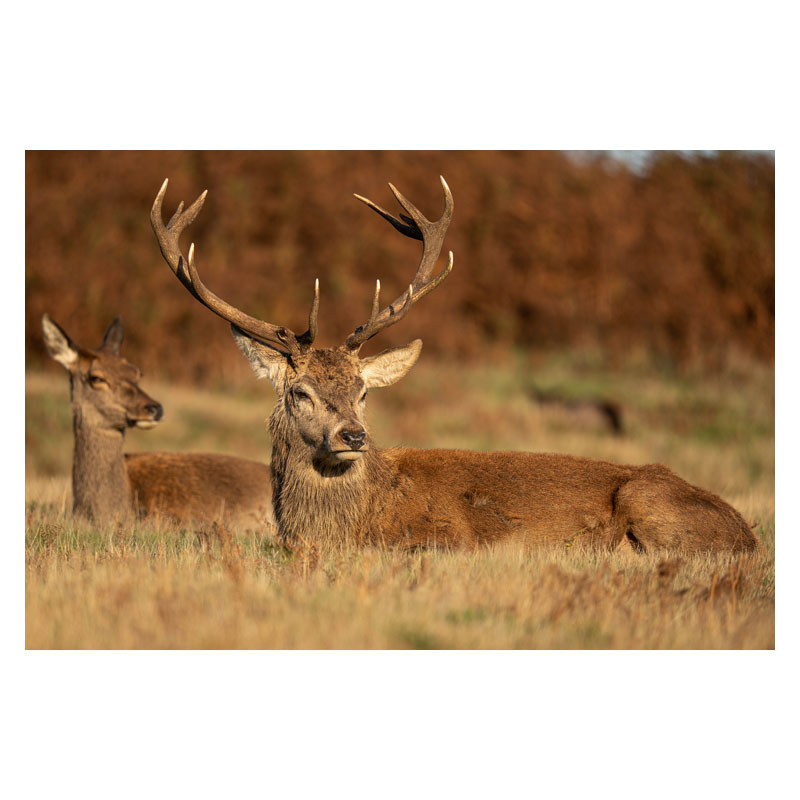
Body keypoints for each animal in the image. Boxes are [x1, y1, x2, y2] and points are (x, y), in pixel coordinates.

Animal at [150, 177, 758, 554]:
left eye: (363, 390)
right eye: (300, 392)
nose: (353, 436)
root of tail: (748, 536)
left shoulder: (451, 537)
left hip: (647, 498)